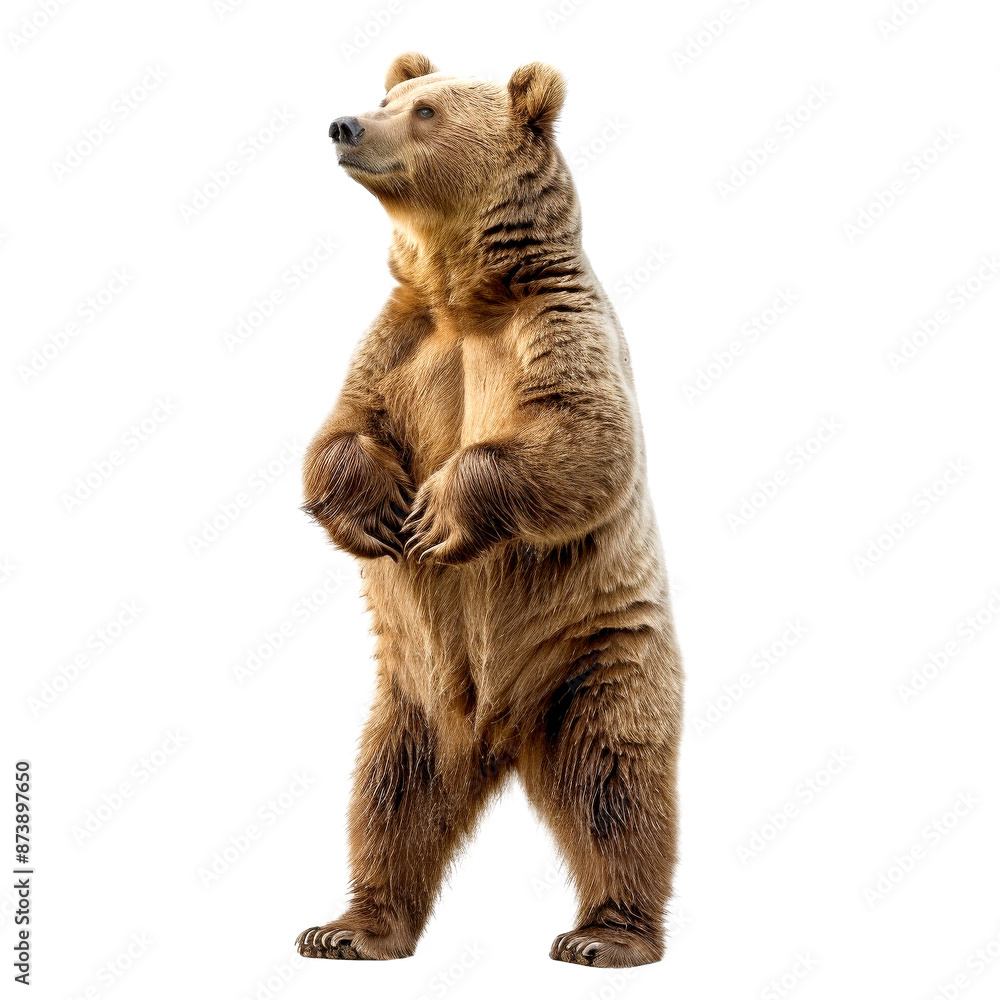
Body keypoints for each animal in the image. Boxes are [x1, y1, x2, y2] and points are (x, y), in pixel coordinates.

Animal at [295, 52, 683, 969]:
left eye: (426, 111)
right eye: (389, 96)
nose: (344, 124)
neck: (463, 295)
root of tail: (499, 741)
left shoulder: (557, 328)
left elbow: (585, 437)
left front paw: (439, 513)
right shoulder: (399, 342)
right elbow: (340, 430)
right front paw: (377, 512)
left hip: (596, 658)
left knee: (616, 785)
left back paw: (605, 936)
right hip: (411, 695)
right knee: (388, 794)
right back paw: (350, 927)